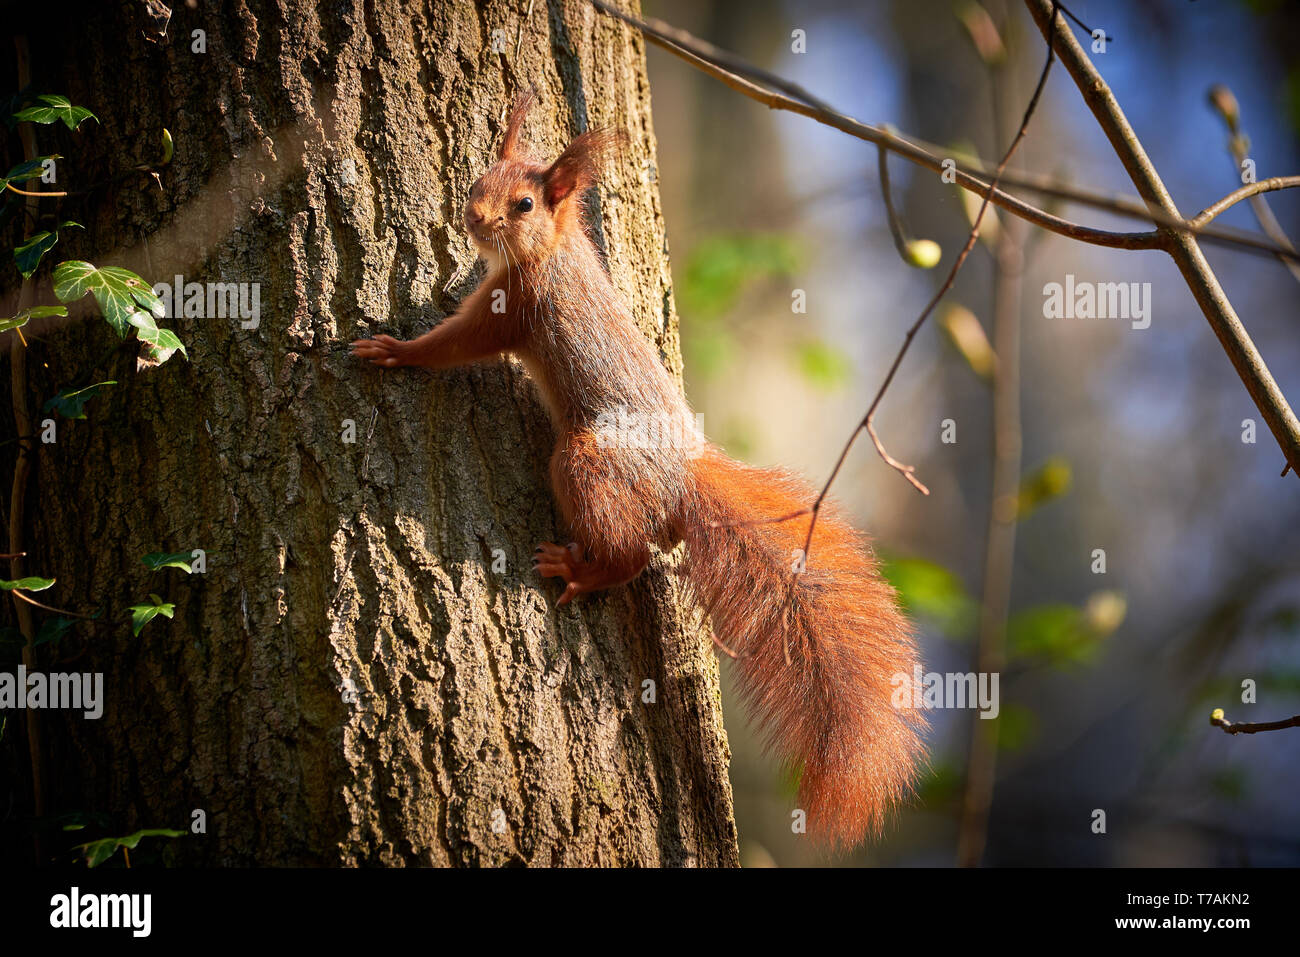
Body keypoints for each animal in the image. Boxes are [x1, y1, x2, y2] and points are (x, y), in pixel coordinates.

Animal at [352, 91, 927, 850]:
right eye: (480, 179)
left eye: (525, 204)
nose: (472, 217)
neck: (555, 251)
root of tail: (682, 477)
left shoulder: (516, 311)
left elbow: (456, 343)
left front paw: (396, 349)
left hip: (585, 461)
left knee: (632, 555)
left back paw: (581, 569)